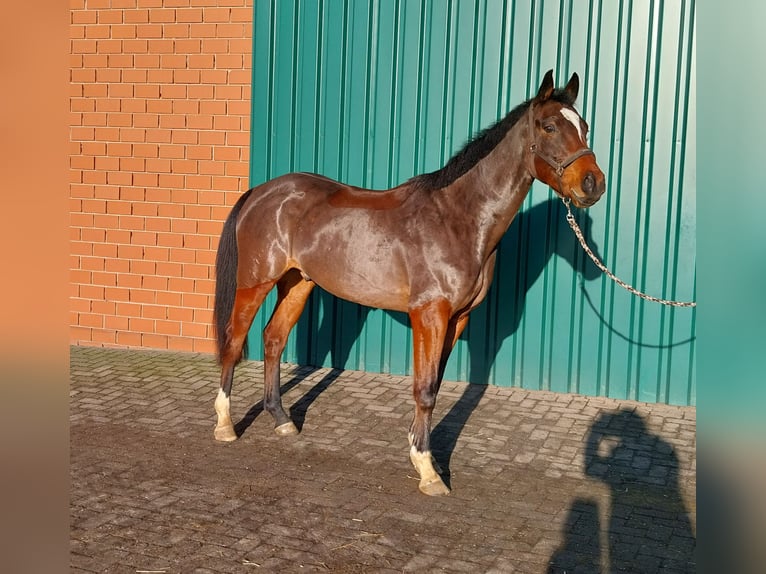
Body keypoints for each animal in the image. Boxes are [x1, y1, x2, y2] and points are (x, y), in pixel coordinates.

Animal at [214, 71, 608, 496]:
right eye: (549, 126)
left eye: (585, 127)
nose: (593, 184)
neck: (459, 219)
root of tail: (262, 191)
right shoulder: (430, 315)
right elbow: (425, 388)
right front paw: (428, 470)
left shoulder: (458, 318)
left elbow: (433, 384)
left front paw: (422, 453)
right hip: (255, 281)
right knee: (234, 341)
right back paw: (225, 426)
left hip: (298, 282)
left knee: (273, 339)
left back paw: (282, 420)